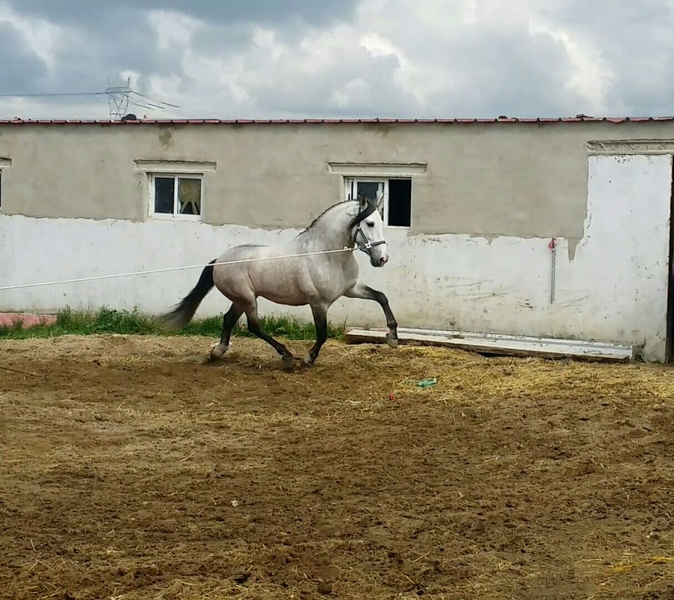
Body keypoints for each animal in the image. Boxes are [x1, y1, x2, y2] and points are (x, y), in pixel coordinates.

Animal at [157, 192, 399, 368]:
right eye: (369, 223)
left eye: (381, 222)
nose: (382, 259)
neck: (326, 254)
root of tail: (219, 261)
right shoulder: (318, 303)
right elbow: (322, 334)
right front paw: (308, 359)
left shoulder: (351, 288)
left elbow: (381, 297)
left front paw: (393, 337)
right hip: (247, 299)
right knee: (254, 326)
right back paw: (286, 356)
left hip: (241, 299)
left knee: (228, 319)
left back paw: (217, 352)